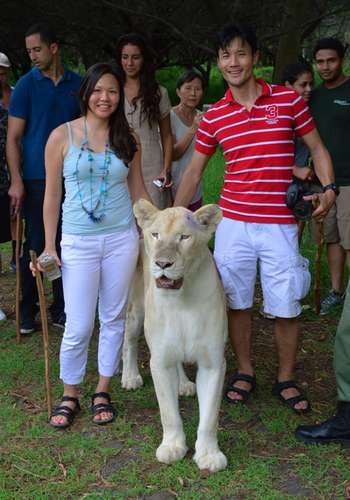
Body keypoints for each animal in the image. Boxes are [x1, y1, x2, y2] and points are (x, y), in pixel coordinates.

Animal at [121, 200, 228, 472]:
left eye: (184, 237)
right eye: (156, 234)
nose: (162, 264)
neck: (183, 301)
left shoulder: (213, 363)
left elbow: (210, 416)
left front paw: (209, 455)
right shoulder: (159, 361)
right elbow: (168, 412)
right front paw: (172, 447)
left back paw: (183, 384)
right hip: (136, 312)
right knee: (129, 342)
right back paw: (130, 377)